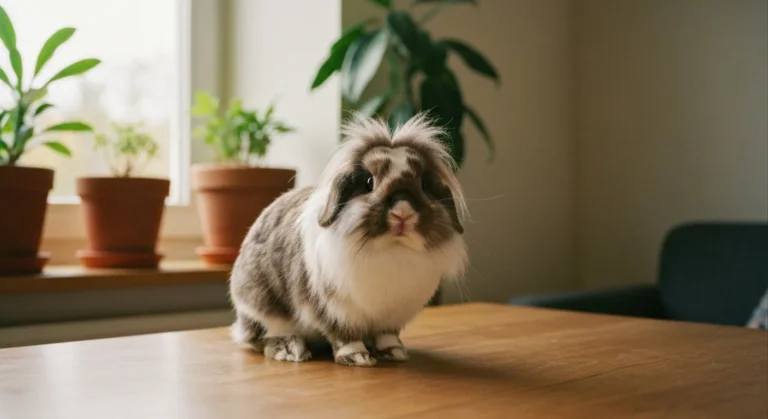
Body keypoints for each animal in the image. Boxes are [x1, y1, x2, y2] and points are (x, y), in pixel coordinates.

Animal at [228, 113, 469, 367]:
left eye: (423, 184)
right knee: (265, 336)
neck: (392, 250)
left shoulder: (391, 317)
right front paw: (358, 358)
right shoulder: (336, 311)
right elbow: (345, 336)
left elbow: (387, 336)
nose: (402, 213)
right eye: (369, 182)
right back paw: (292, 351)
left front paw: (394, 352)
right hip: (261, 307)